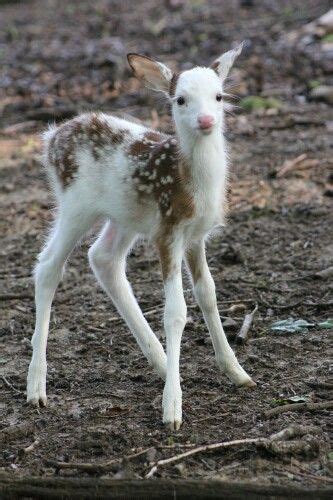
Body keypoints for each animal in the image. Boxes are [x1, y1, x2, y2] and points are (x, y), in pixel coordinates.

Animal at [27, 43, 255, 430]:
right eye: (180, 99)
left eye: (219, 95)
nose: (206, 121)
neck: (191, 182)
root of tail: (51, 137)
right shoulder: (168, 231)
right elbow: (176, 312)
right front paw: (172, 409)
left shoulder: (196, 235)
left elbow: (208, 294)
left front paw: (237, 372)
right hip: (75, 204)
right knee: (48, 267)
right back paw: (36, 388)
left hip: (125, 215)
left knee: (102, 258)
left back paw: (161, 362)